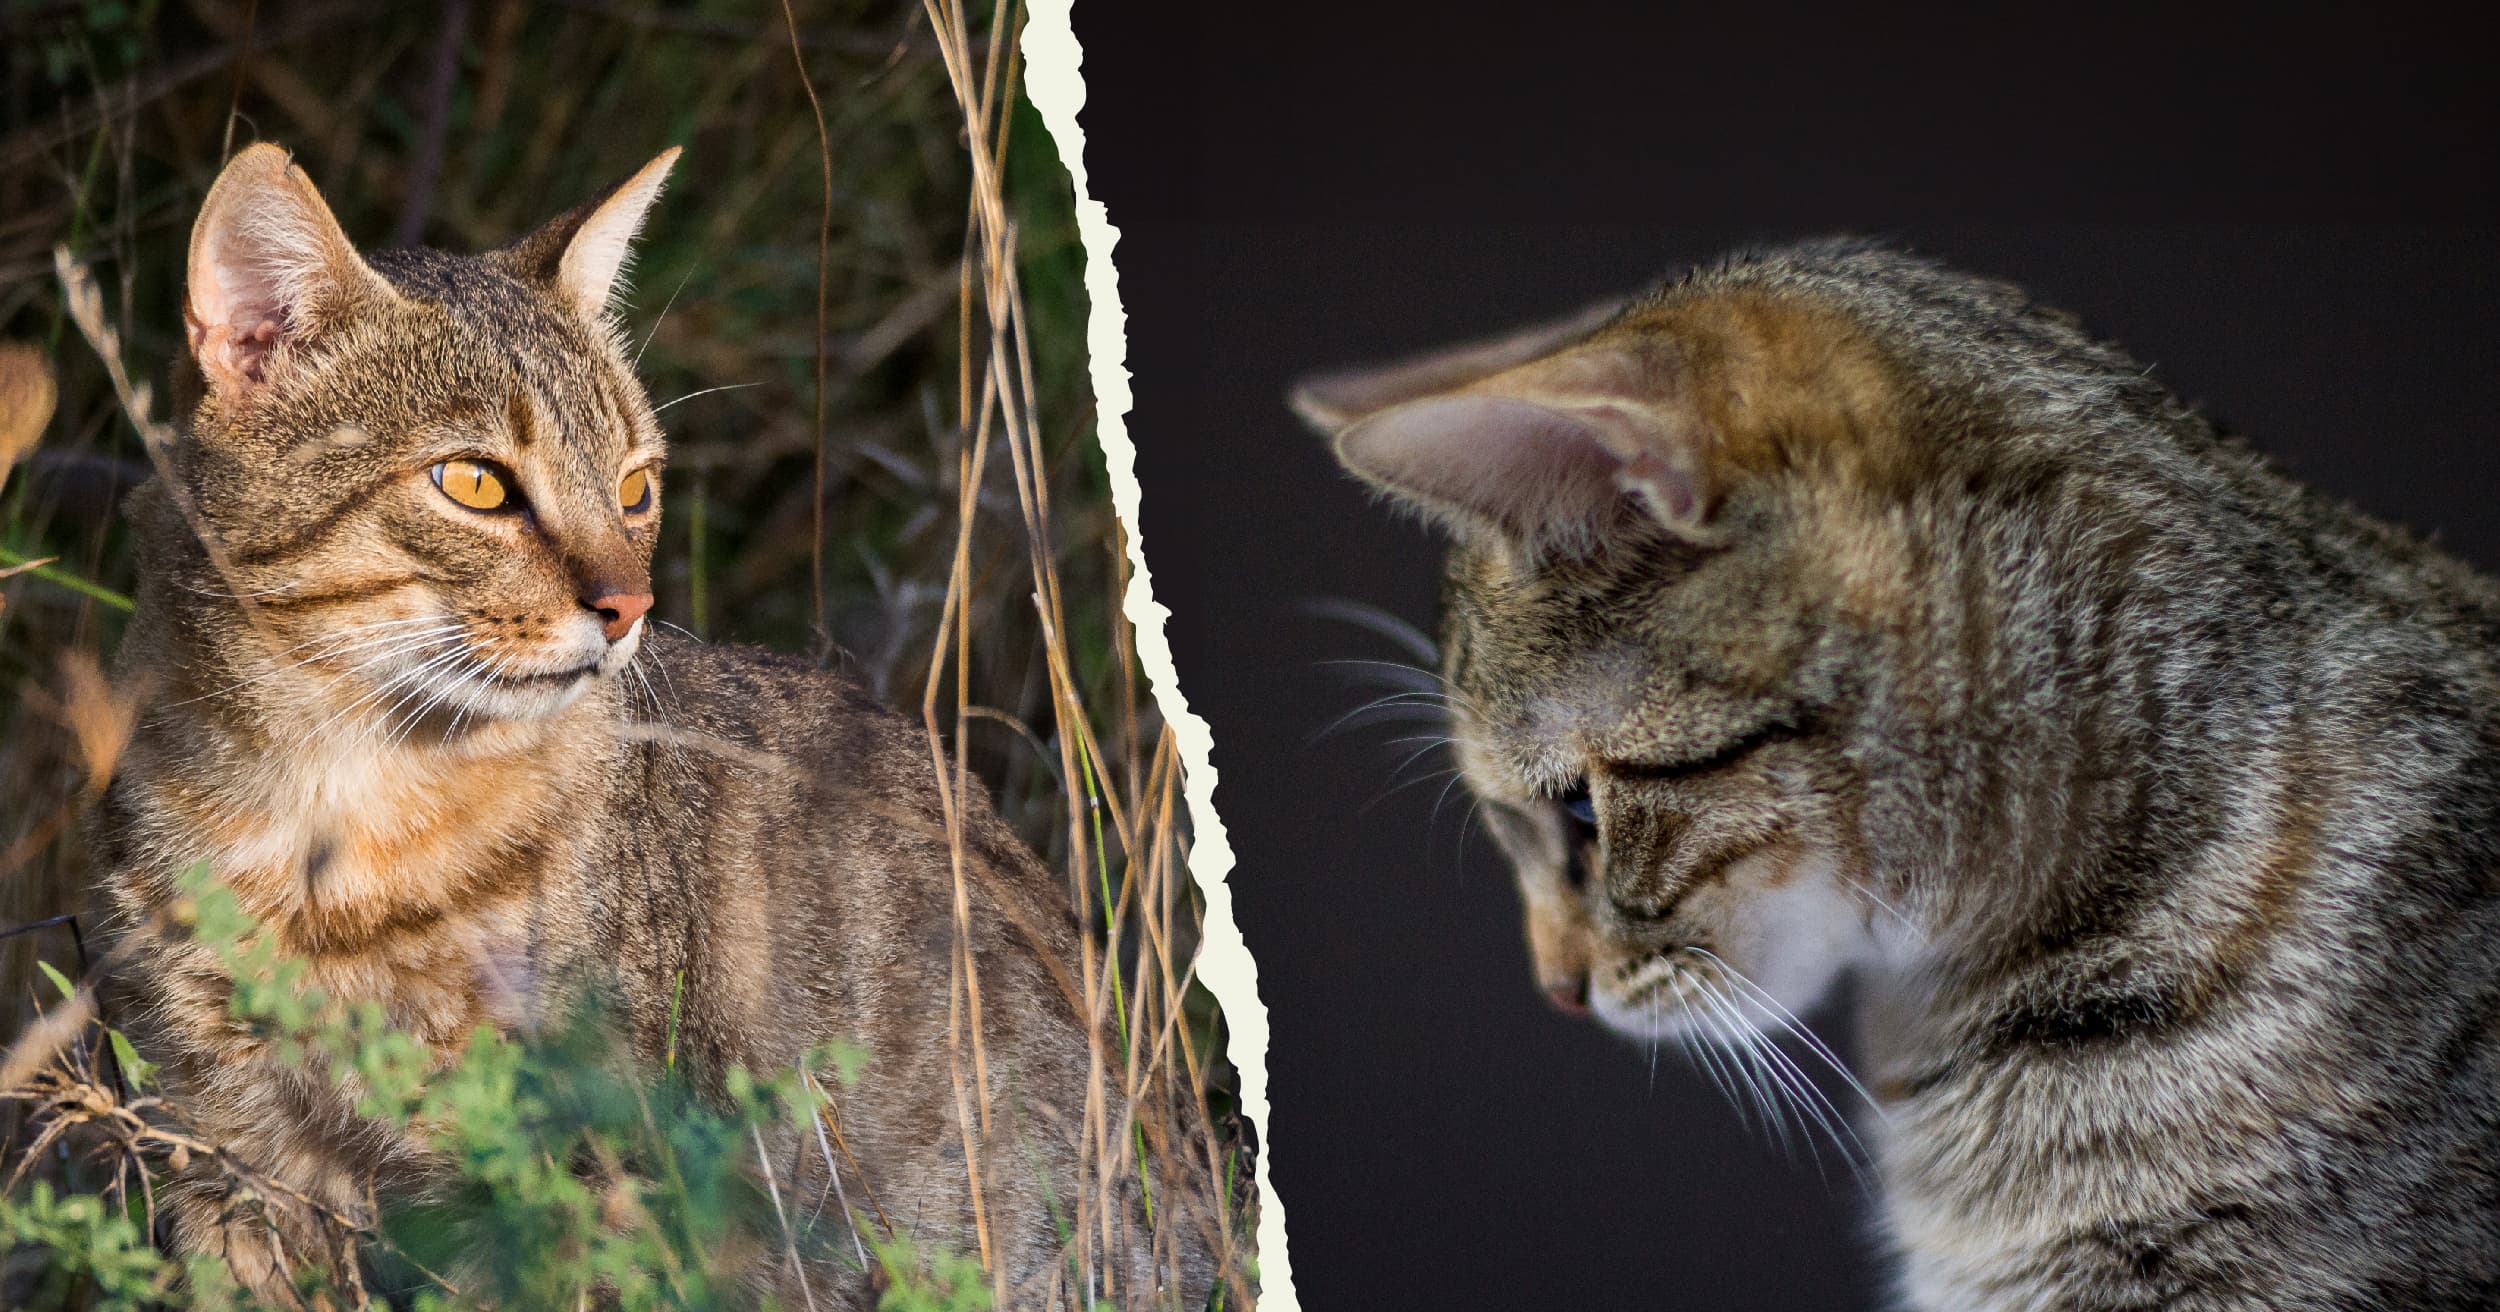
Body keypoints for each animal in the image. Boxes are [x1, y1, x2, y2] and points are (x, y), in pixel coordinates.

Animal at [92, 145, 1185, 1309]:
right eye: (474, 482)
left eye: (635, 486)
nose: (630, 607)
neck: (330, 816)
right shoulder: (225, 1152)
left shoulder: (574, 1180)